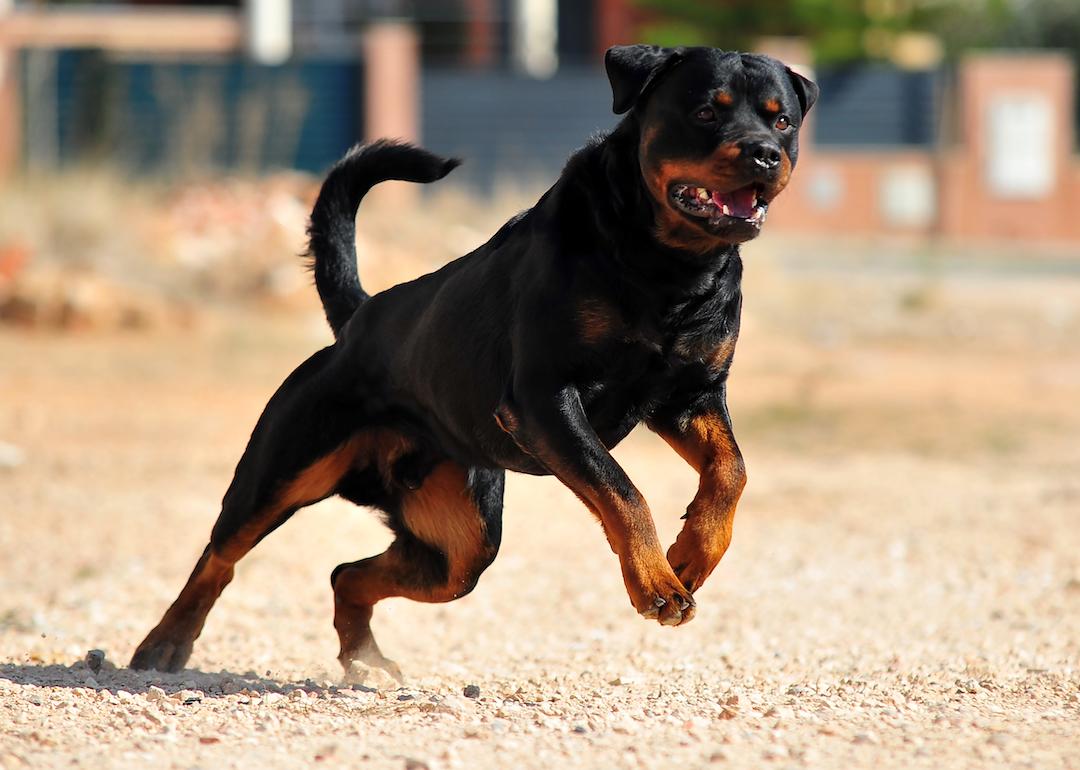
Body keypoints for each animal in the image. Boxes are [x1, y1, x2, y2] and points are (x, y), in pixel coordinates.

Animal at [128, 45, 816, 673]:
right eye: (705, 111)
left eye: (782, 120)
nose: (764, 153)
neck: (669, 266)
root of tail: (358, 319)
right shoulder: (545, 397)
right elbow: (623, 491)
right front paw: (656, 583)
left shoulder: (689, 396)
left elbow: (731, 471)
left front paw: (692, 555)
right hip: (285, 467)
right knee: (222, 553)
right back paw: (164, 642)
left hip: (461, 541)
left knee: (350, 572)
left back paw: (364, 656)